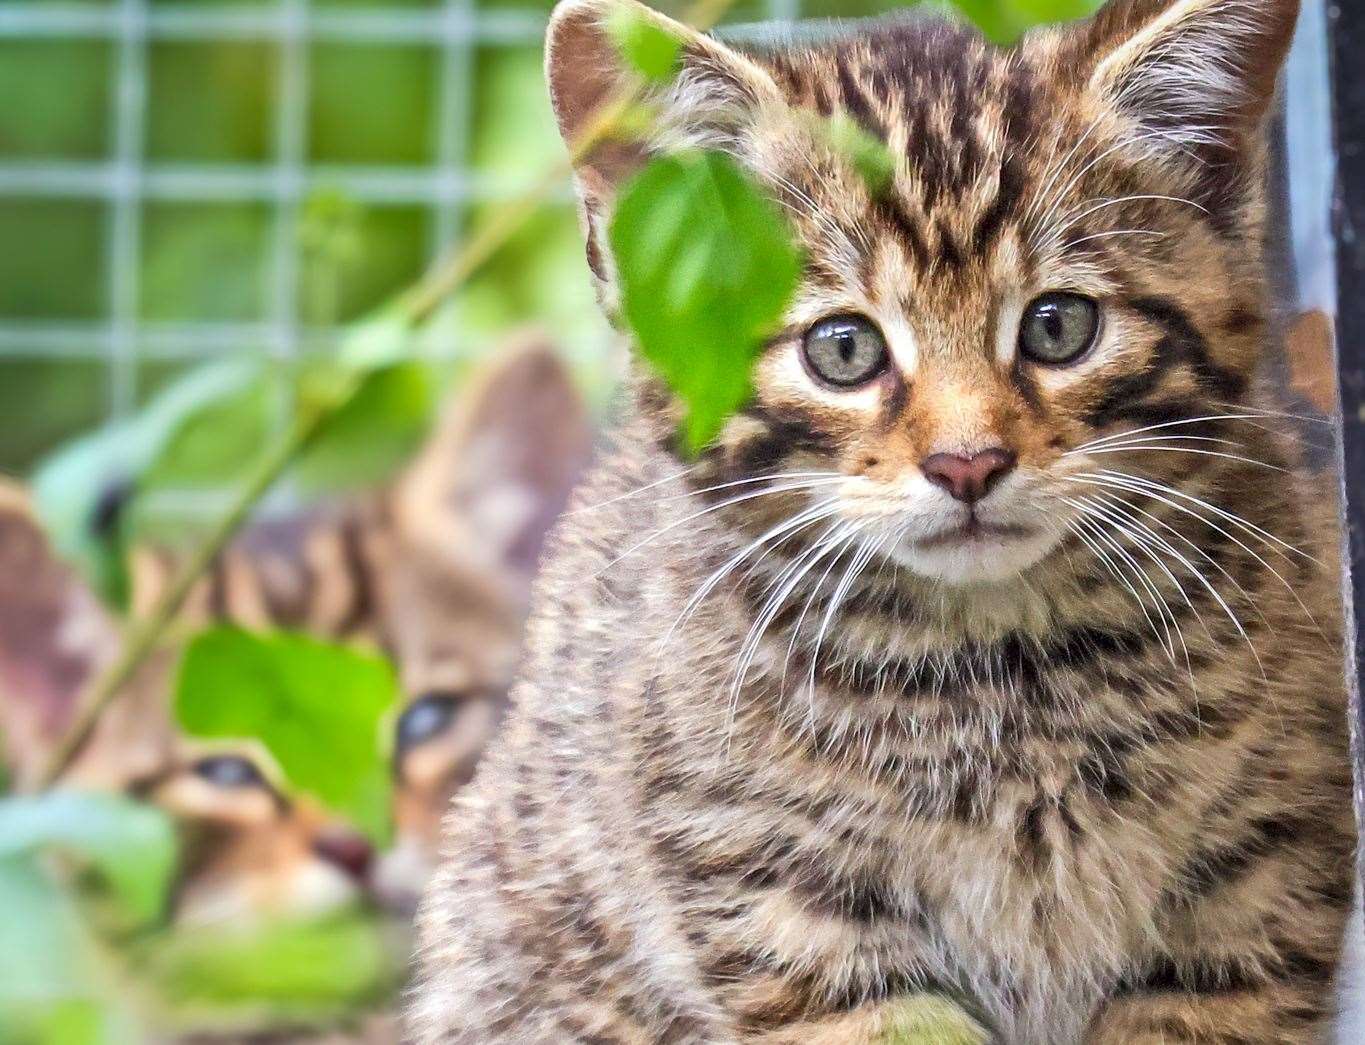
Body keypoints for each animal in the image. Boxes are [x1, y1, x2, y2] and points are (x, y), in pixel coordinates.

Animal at [409, 2, 1359, 1045]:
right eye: (843, 349)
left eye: (1057, 326)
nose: (966, 462)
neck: (1004, 669)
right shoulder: (775, 897)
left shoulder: (1258, 878)